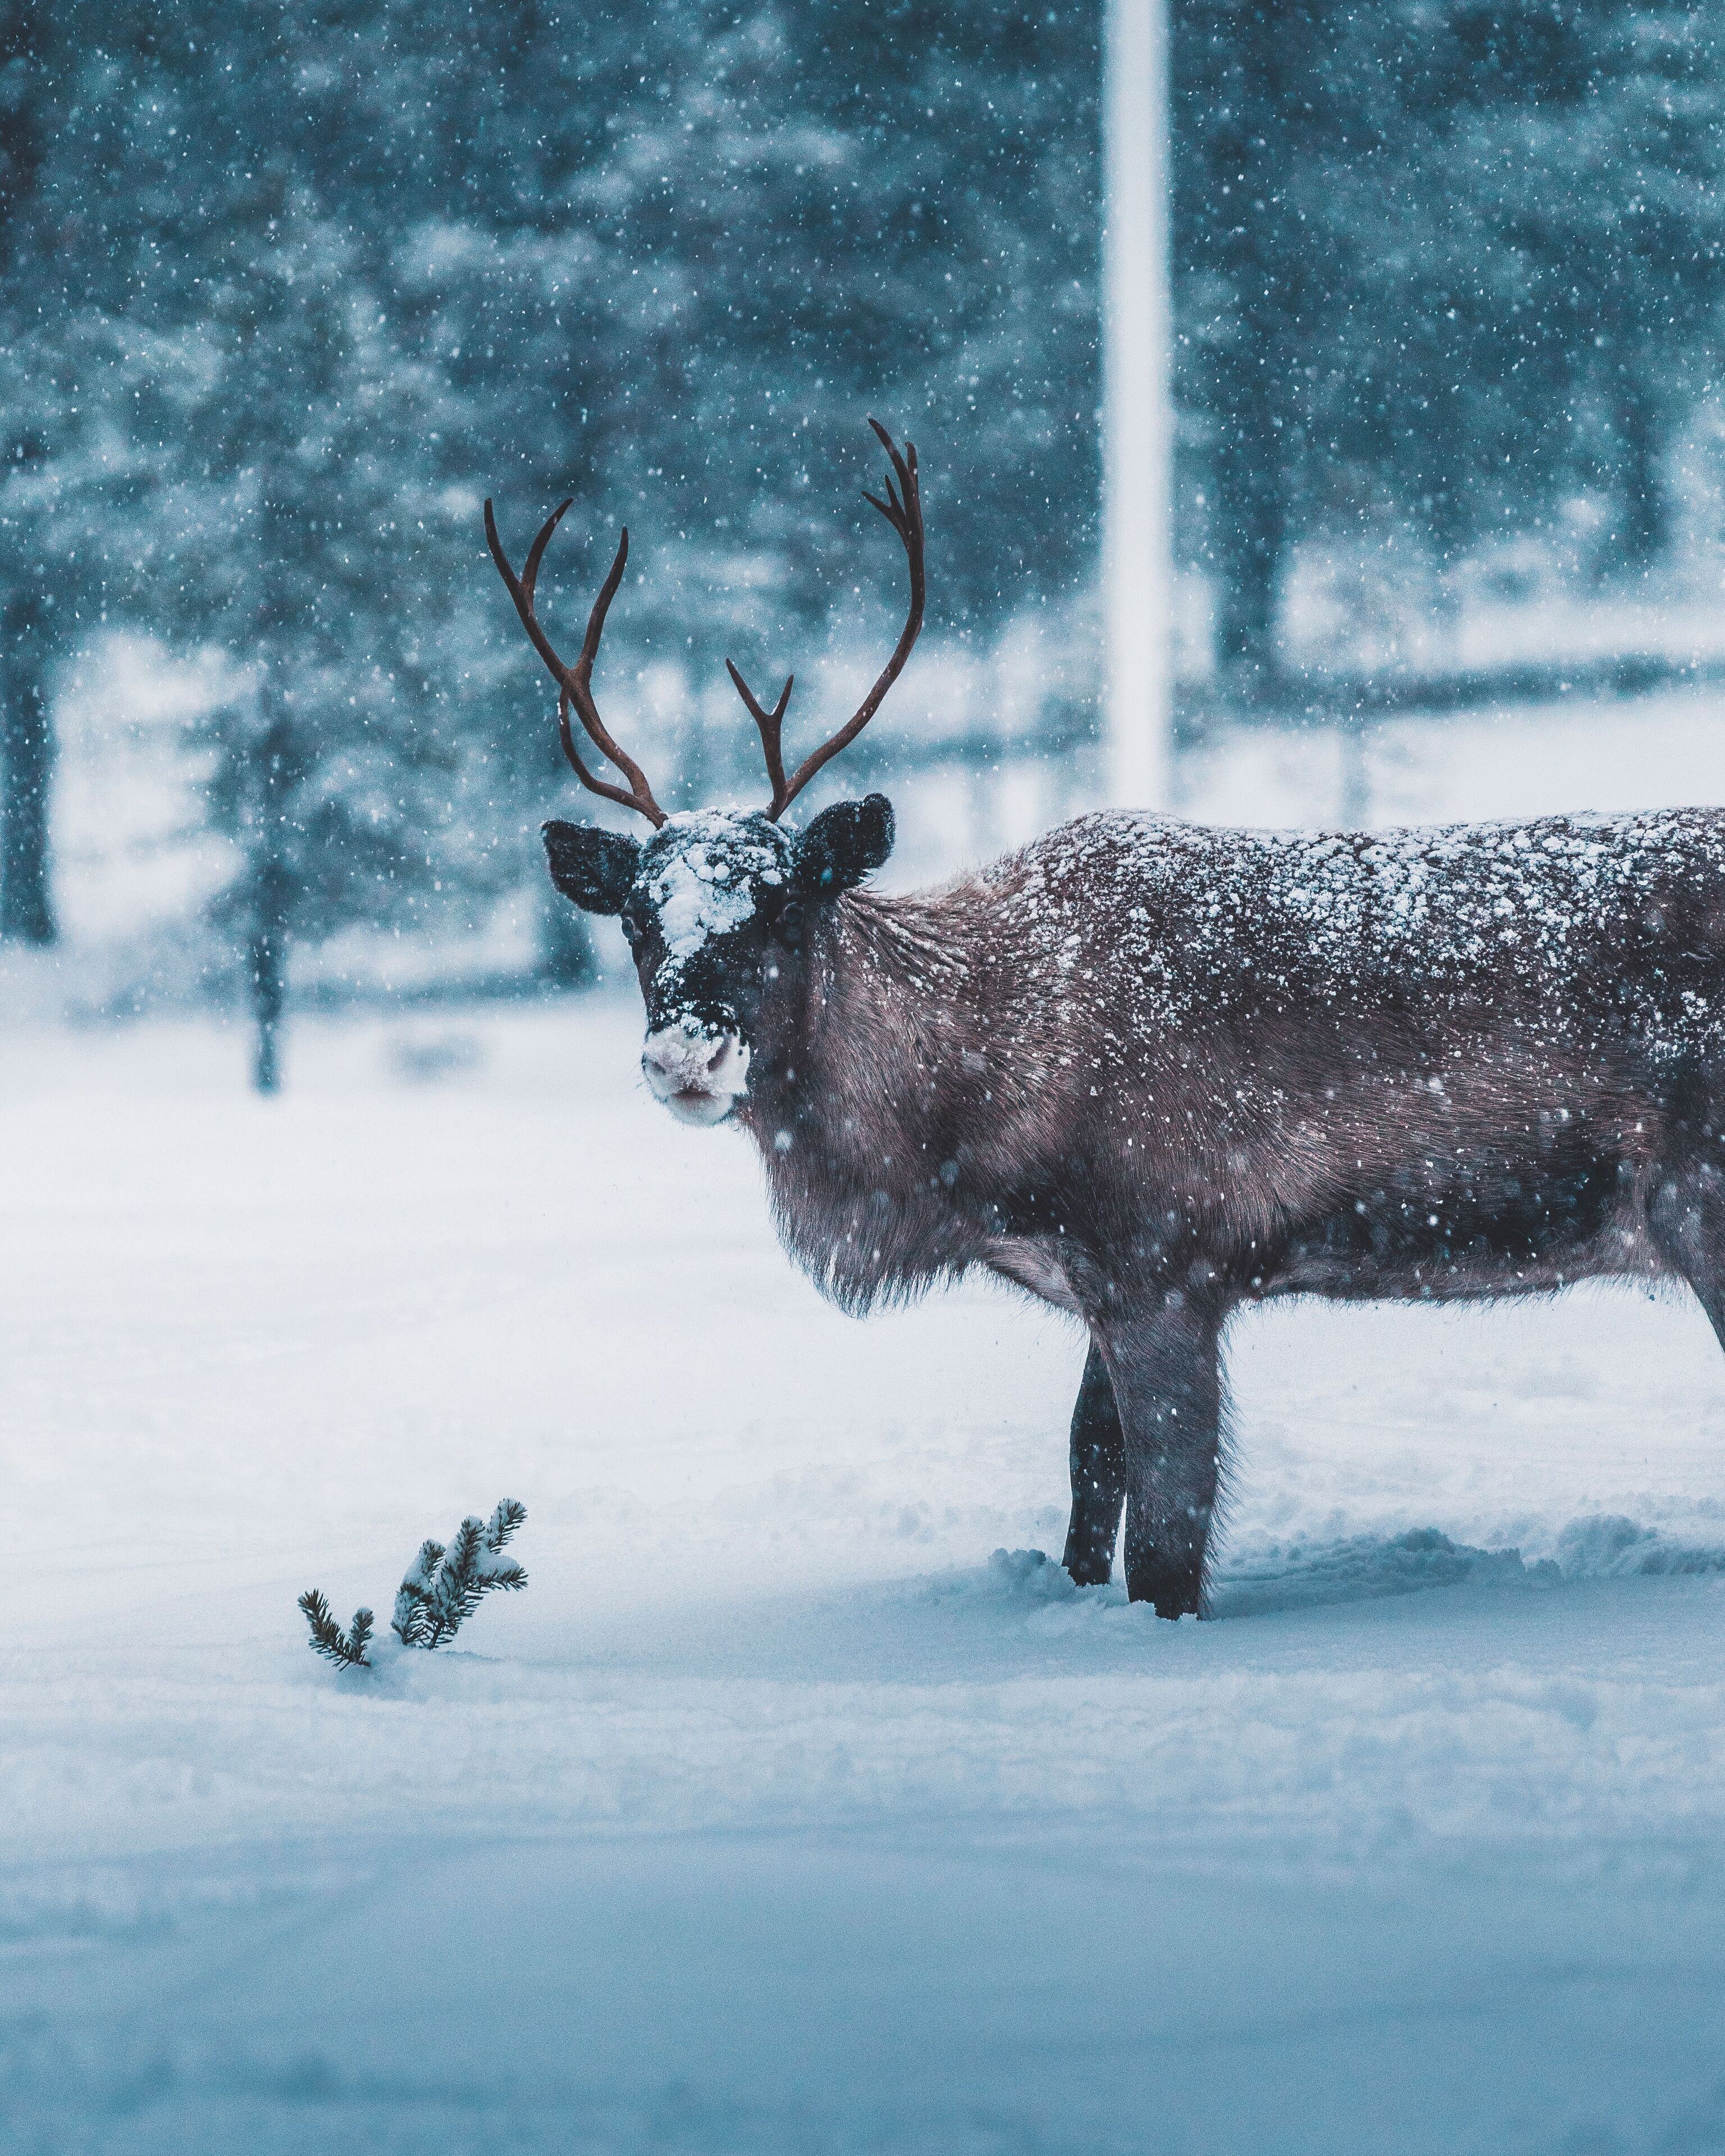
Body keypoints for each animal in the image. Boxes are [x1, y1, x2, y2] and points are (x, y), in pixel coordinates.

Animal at [485, 419, 1725, 1618]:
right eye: (637, 917)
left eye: (787, 901)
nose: (682, 1053)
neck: (967, 1119)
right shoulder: (1095, 1280)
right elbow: (1088, 1477)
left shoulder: (1165, 1258)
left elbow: (1168, 1544)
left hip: (1699, 1199)